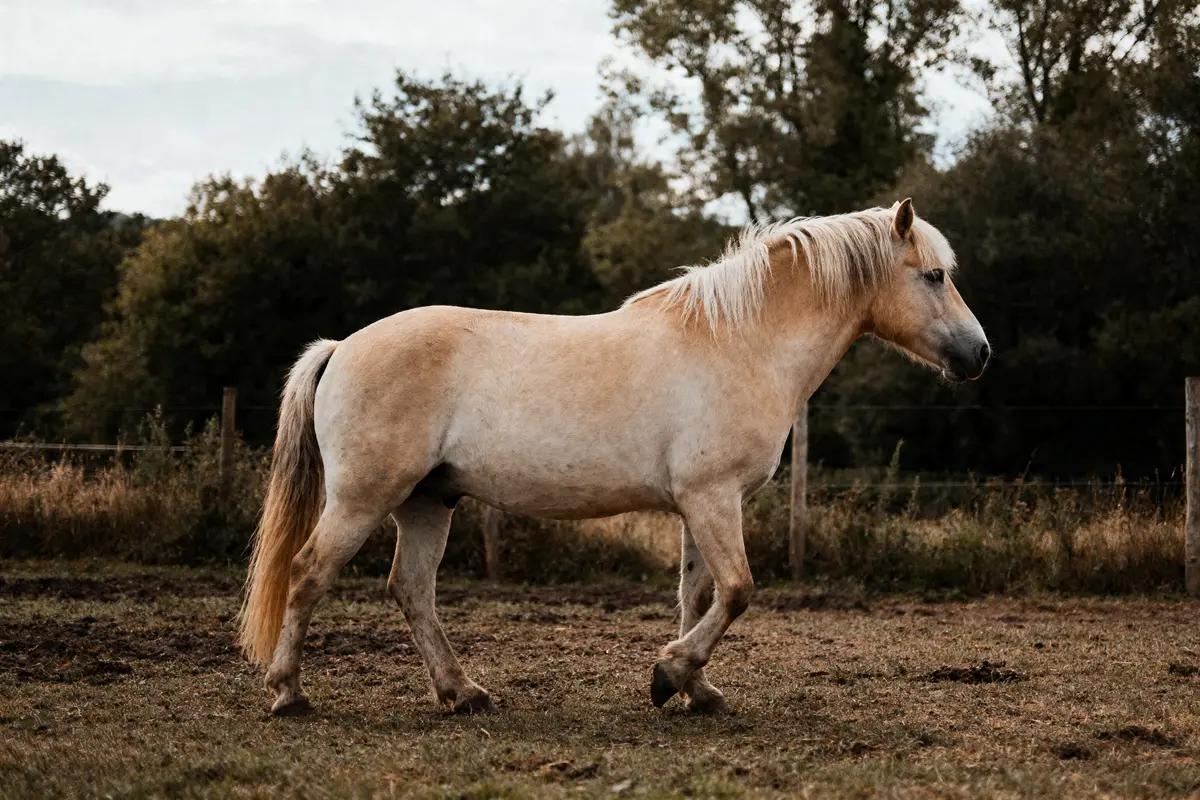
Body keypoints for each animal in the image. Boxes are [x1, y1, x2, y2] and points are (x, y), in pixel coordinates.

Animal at [238, 198, 989, 717]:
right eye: (932, 276)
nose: (978, 354)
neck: (740, 341)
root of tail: (342, 346)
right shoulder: (713, 499)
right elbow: (738, 590)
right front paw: (670, 675)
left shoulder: (699, 506)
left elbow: (698, 594)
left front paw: (696, 689)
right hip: (363, 498)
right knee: (307, 573)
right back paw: (289, 696)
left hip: (430, 501)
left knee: (411, 591)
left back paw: (464, 693)